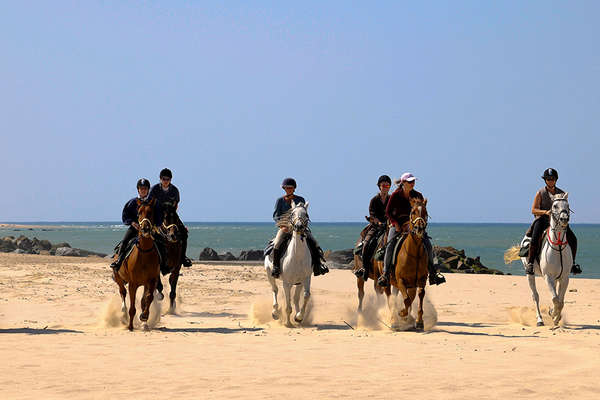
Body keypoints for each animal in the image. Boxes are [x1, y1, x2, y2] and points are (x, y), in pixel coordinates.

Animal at [111, 198, 161, 332]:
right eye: (138, 213)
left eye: (150, 212)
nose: (145, 229)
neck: (144, 251)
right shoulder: (133, 284)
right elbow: (132, 307)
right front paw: (130, 326)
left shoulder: (151, 281)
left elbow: (148, 299)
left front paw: (144, 318)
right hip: (118, 277)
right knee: (122, 292)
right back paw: (123, 314)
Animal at [386, 199, 428, 332]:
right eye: (413, 212)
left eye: (425, 212)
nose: (419, 228)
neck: (414, 252)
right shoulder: (400, 280)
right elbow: (406, 299)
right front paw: (402, 314)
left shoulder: (421, 280)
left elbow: (419, 296)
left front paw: (419, 322)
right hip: (387, 282)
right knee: (390, 298)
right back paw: (394, 321)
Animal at [506, 192, 572, 326]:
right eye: (555, 206)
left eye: (567, 206)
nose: (564, 219)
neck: (558, 246)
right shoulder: (548, 276)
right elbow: (555, 299)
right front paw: (554, 315)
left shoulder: (564, 278)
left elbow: (560, 300)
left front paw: (555, 316)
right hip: (530, 274)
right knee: (535, 296)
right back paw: (540, 320)